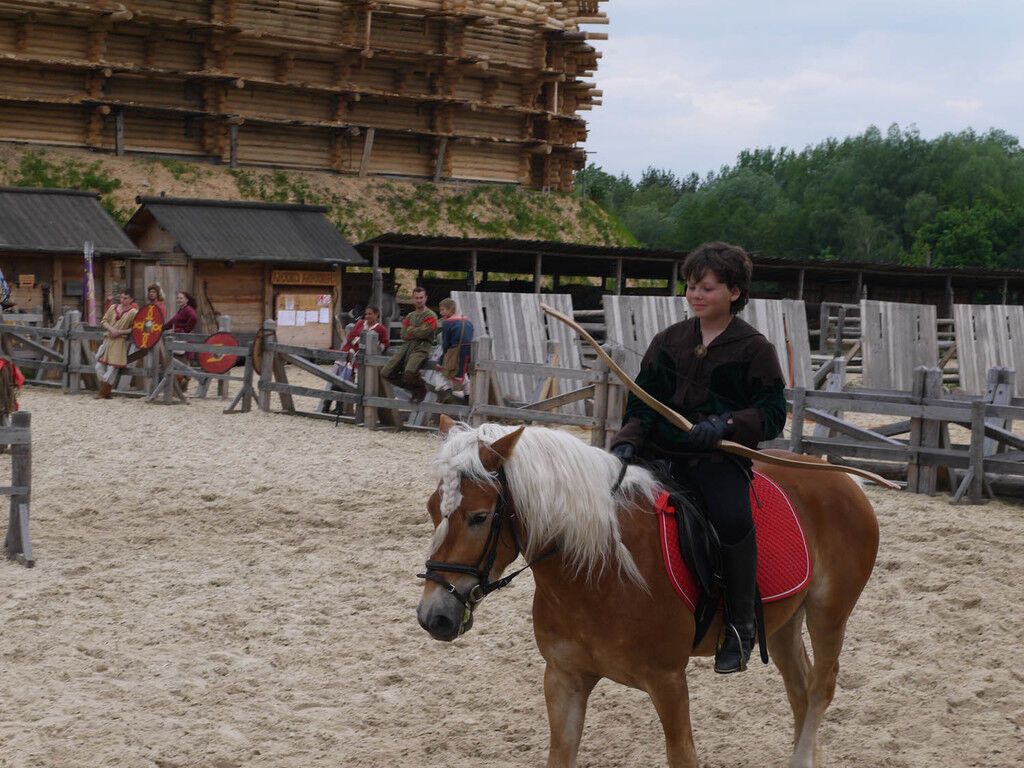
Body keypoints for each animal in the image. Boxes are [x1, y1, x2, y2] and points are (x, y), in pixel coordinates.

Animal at [415, 421, 880, 768]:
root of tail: (845, 480)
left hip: (829, 613)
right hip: (784, 621)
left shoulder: (668, 681)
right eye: (433, 508)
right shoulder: (564, 677)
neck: (599, 569)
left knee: (821, 688)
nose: (433, 615)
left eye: (479, 517)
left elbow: (683, 756)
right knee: (800, 690)